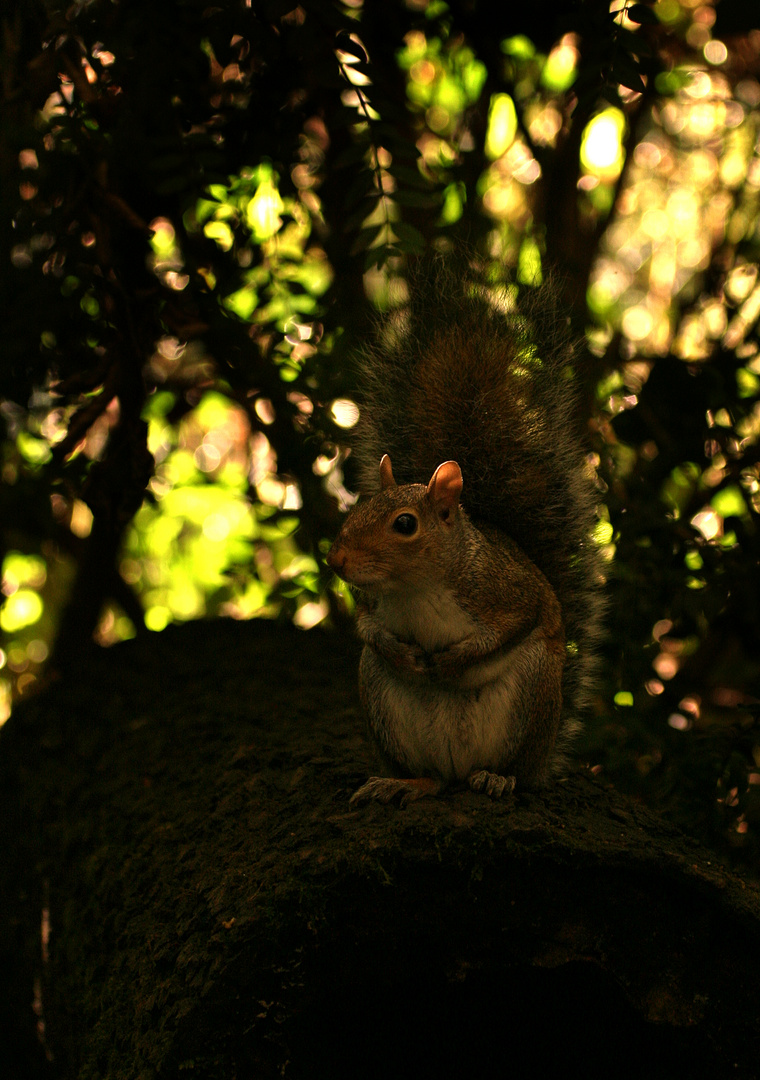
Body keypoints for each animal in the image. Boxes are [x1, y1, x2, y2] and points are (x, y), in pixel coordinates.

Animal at [328, 257, 604, 807]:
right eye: (360, 506)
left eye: (405, 524)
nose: (337, 560)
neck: (416, 587)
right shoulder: (372, 603)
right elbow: (367, 628)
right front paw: (405, 653)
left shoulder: (507, 591)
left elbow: (514, 624)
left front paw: (453, 661)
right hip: (382, 701)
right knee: (432, 777)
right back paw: (402, 782)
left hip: (532, 696)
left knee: (508, 768)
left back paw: (497, 778)